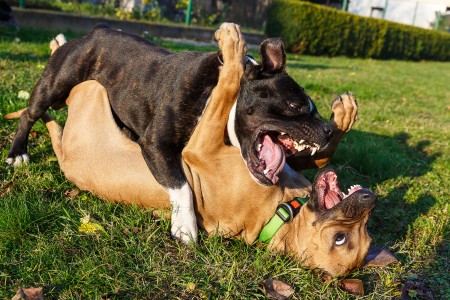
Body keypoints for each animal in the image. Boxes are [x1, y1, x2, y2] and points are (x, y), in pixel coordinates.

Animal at [6, 22, 394, 278]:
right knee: (29, 113)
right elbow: (181, 186)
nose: (325, 127)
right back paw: (17, 151)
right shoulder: (159, 145)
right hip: (57, 84)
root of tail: (93, 33)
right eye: (296, 106)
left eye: (314, 110)